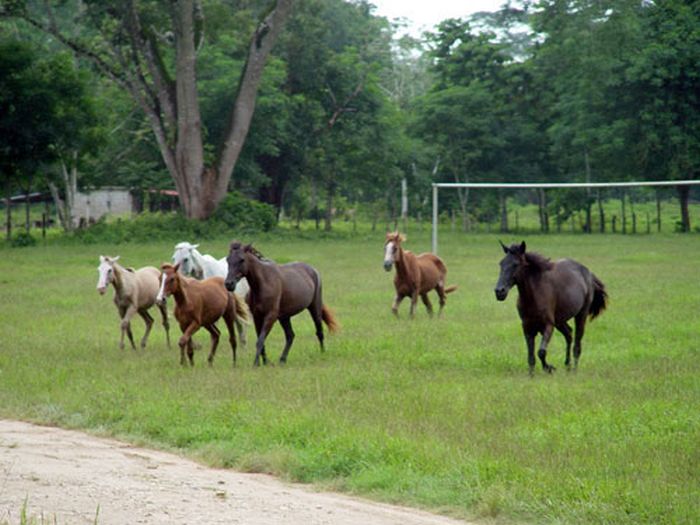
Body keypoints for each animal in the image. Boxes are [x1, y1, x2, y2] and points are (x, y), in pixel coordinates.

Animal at [492, 241, 608, 372]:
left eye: (515, 264)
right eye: (501, 263)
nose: (499, 291)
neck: (533, 297)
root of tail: (588, 273)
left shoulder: (548, 325)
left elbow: (541, 352)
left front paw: (550, 368)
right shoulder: (527, 327)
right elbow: (531, 357)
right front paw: (532, 374)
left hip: (580, 315)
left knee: (577, 344)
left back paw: (574, 370)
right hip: (559, 320)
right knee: (569, 334)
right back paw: (567, 365)